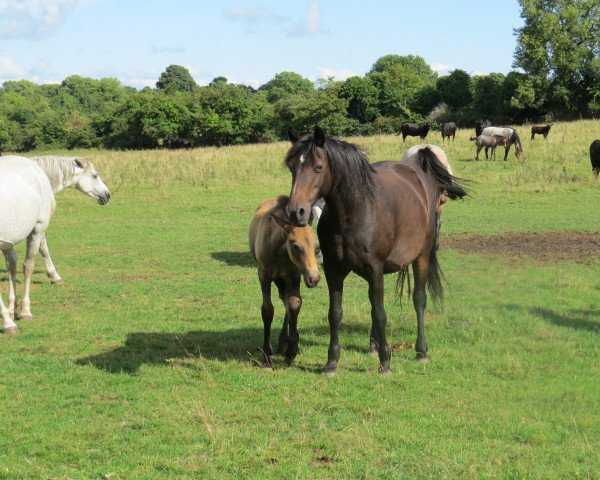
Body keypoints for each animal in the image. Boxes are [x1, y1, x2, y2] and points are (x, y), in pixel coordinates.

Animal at [0, 157, 55, 334]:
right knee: (12, 265)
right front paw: (8, 319)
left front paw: (8, 324)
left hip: (37, 230)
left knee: (28, 266)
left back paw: (25, 312)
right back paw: (12, 309)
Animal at [248, 195, 322, 368]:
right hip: (277, 279)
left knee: (287, 301)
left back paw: (284, 344)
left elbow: (294, 304)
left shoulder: (293, 275)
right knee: (283, 299)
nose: (314, 278)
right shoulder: (264, 275)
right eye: (295, 246)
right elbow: (267, 310)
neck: (279, 252)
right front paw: (267, 355)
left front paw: (292, 350)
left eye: (315, 243)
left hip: (284, 279)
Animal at [284, 127, 466, 376]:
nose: (296, 212)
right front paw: (331, 362)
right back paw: (373, 345)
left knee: (418, 300)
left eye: (318, 167)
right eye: (292, 167)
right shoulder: (333, 269)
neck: (355, 212)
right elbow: (336, 313)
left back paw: (421, 351)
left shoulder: (375, 268)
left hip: (420, 257)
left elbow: (381, 314)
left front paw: (385, 363)